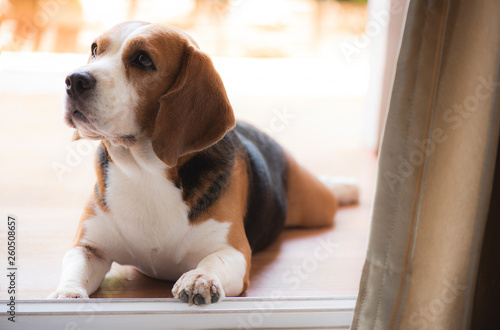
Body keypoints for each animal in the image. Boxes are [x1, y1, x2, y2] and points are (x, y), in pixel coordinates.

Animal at [48, 20, 358, 304]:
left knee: (327, 194)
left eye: (143, 60)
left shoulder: (234, 251)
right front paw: (67, 295)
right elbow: (76, 266)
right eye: (94, 49)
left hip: (316, 207)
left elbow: (213, 261)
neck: (144, 172)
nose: (74, 79)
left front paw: (200, 278)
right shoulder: (90, 246)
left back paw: (344, 187)